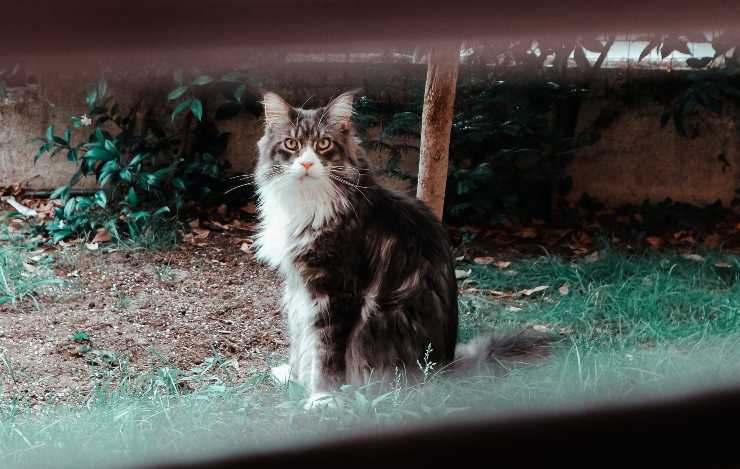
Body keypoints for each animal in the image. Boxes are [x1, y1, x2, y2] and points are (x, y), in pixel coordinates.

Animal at [254, 90, 548, 402]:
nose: (308, 164)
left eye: (323, 144)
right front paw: (295, 379)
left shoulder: (337, 291)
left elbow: (326, 355)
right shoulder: (299, 287)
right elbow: (300, 338)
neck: (307, 202)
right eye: (292, 144)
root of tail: (445, 368)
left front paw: (323, 398)